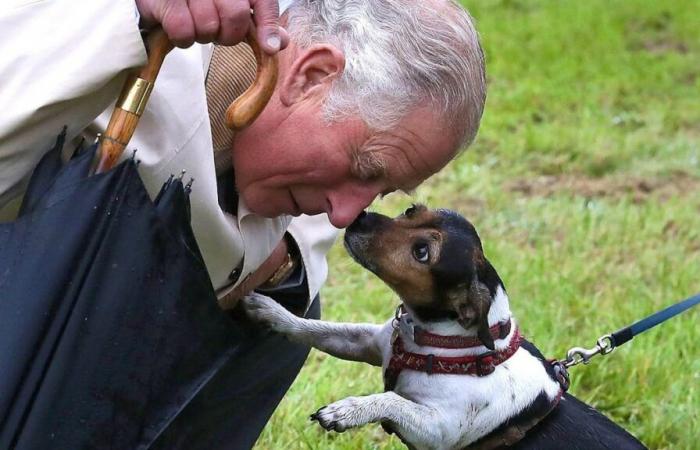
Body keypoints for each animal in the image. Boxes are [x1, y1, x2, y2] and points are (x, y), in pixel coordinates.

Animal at [243, 206, 648, 448]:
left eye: (422, 252)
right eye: (411, 210)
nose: (359, 217)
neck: (443, 341)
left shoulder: (436, 429)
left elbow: (391, 399)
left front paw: (346, 411)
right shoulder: (368, 342)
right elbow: (314, 329)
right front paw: (269, 310)